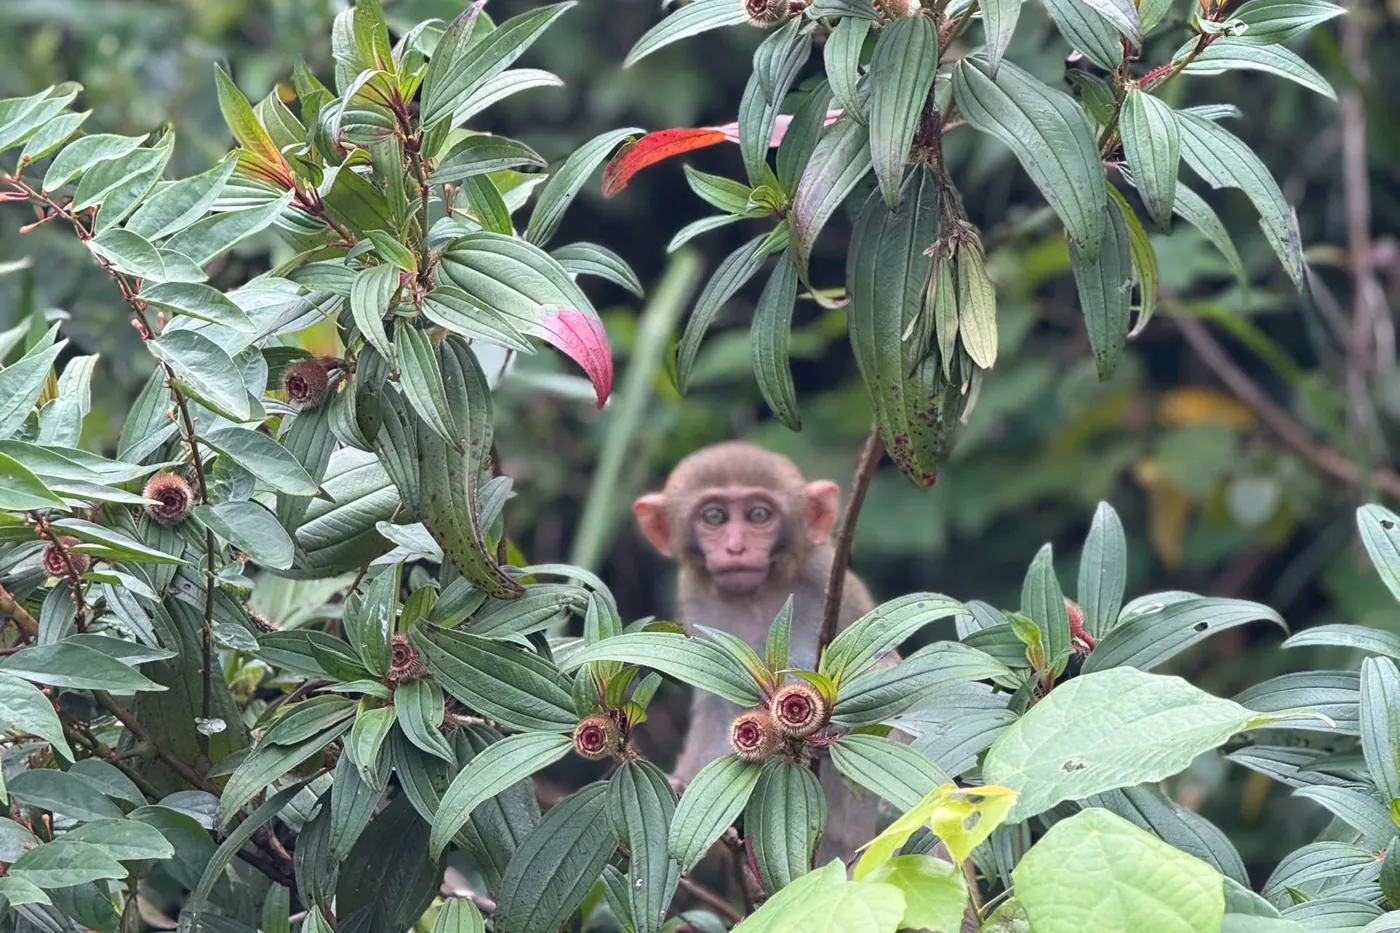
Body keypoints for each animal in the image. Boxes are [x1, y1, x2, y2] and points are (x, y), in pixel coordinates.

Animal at [631, 441, 880, 865]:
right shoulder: (696, 599)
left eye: (759, 515)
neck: (756, 597)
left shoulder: (829, 581)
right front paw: (684, 784)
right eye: (714, 516)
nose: (736, 547)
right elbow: (717, 705)